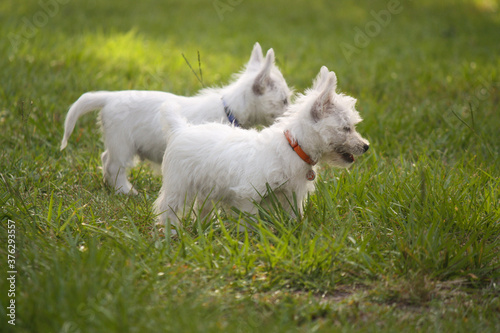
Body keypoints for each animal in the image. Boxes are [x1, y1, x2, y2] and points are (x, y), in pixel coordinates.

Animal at [60, 44, 292, 195]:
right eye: (284, 100)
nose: (292, 113)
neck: (229, 109)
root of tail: (109, 97)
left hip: (118, 143)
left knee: (105, 158)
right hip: (122, 143)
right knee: (113, 165)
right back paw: (125, 191)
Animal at [156, 66, 372, 230]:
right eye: (346, 128)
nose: (366, 146)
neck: (293, 148)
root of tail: (181, 128)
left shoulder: (291, 196)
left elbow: (295, 216)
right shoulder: (248, 196)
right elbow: (250, 222)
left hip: (206, 190)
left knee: (202, 209)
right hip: (178, 186)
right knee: (167, 209)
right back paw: (170, 232)